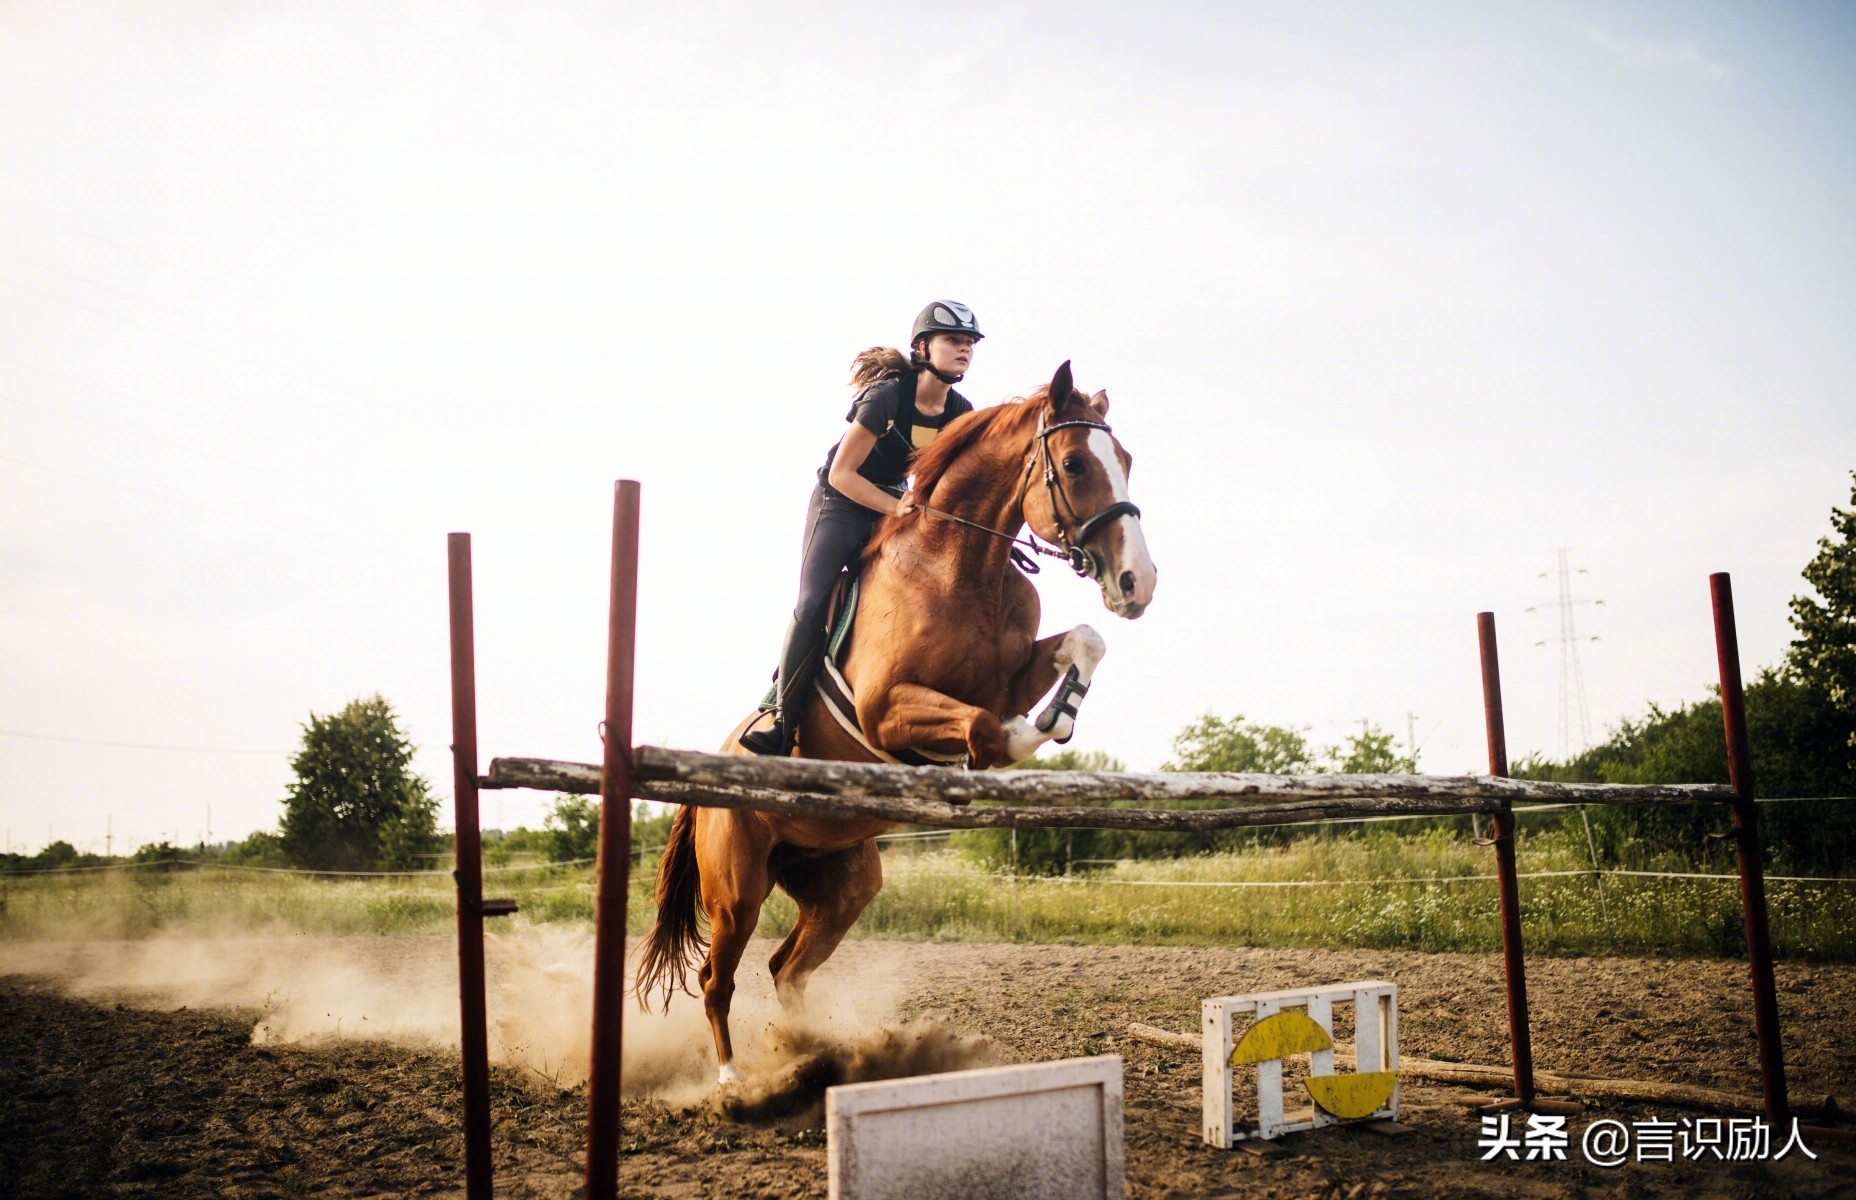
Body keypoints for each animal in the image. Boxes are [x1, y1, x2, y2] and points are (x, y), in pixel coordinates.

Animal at [645, 361, 1150, 1083]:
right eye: (1077, 464)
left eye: (1126, 461)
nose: (1139, 581)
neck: (962, 566)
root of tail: (700, 785)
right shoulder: (886, 711)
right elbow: (986, 729)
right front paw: (994, 754)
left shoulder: (1005, 676)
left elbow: (1083, 643)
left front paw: (1059, 713)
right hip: (737, 890)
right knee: (718, 977)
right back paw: (734, 1080)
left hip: (841, 882)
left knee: (786, 968)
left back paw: (812, 1054)